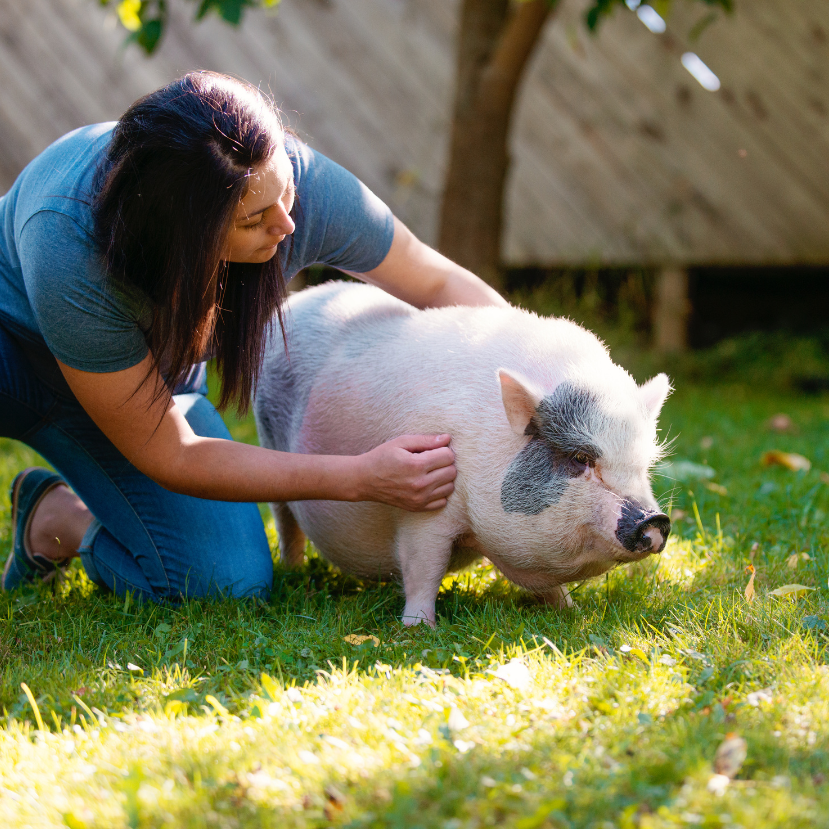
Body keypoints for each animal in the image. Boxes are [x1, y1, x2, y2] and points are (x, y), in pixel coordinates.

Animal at [254, 278, 672, 620]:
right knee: (285, 516)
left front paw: (571, 612)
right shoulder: (423, 509)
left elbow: (544, 584)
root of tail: (298, 299)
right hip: (267, 433)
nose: (655, 520)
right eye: (581, 458)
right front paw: (418, 628)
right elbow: (424, 565)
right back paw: (292, 571)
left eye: (643, 466)